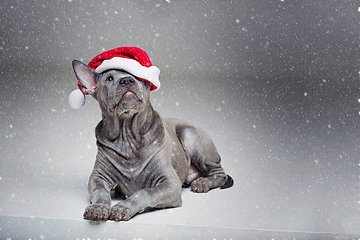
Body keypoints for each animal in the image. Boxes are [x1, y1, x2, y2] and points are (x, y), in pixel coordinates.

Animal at [70, 47, 233, 221]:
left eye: (138, 77)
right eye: (109, 78)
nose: (127, 80)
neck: (127, 137)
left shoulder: (169, 183)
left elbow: (144, 193)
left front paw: (123, 207)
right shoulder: (98, 178)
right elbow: (100, 193)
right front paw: (98, 208)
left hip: (191, 136)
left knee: (219, 173)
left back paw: (203, 183)